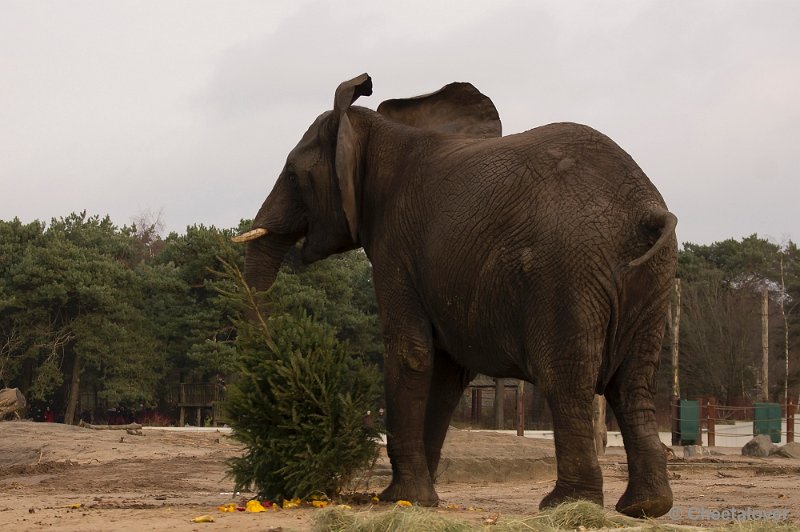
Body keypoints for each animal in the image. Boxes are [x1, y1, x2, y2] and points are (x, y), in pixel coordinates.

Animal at [234, 72, 680, 516]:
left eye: (293, 175)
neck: (374, 133)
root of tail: (649, 211)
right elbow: (447, 373)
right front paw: (421, 499)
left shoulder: (396, 247)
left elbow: (411, 353)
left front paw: (398, 499)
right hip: (653, 277)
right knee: (633, 383)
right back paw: (643, 507)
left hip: (569, 271)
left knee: (565, 379)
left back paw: (565, 505)